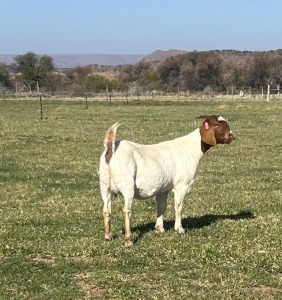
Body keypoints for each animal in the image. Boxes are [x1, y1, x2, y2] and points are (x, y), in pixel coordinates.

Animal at [98, 115, 235, 246]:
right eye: (216, 124)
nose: (232, 136)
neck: (191, 148)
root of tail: (111, 148)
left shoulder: (162, 189)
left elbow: (161, 206)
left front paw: (160, 229)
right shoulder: (181, 185)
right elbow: (178, 207)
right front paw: (179, 229)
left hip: (104, 185)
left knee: (106, 210)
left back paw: (107, 237)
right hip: (127, 185)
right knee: (126, 210)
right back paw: (128, 240)